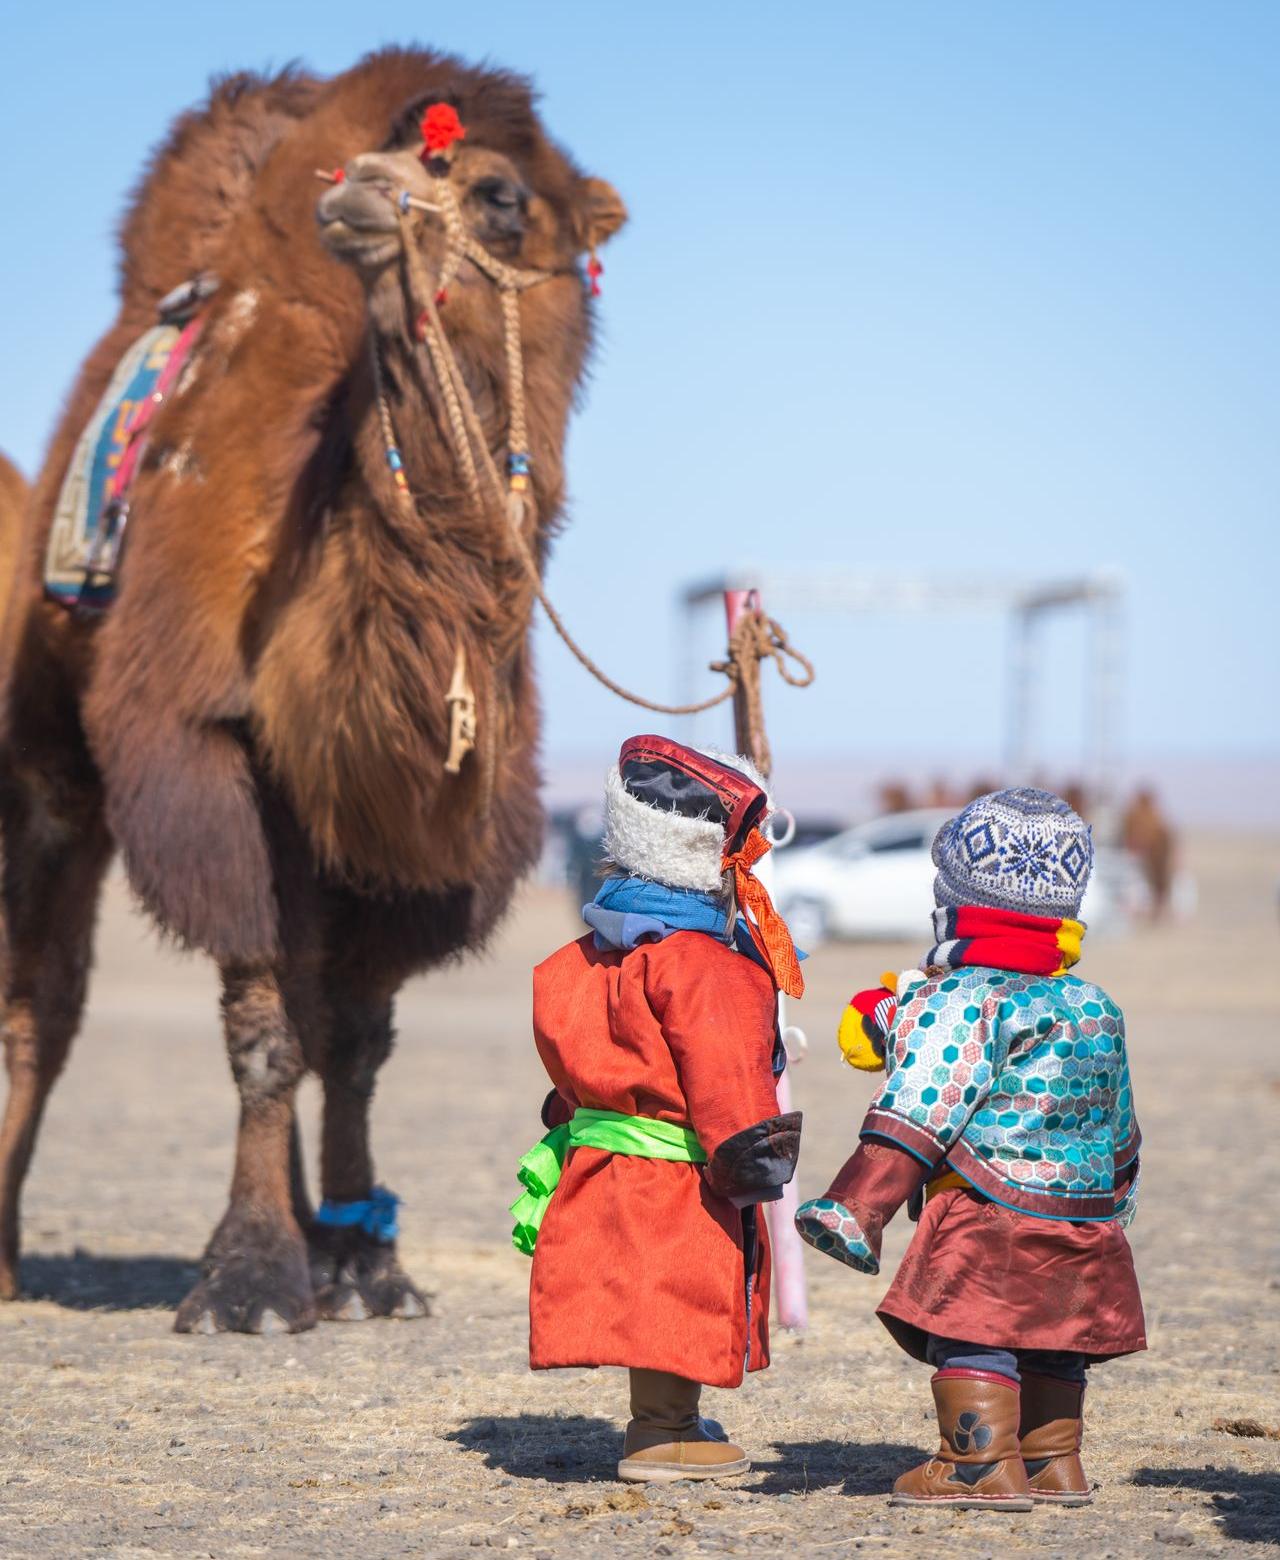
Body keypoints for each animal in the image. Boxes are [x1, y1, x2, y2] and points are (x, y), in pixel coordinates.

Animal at [0, 54, 623, 1335]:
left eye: (499, 197)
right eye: (363, 164)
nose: (361, 196)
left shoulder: (416, 815)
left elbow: (356, 1037)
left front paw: (362, 1267)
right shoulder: (207, 750)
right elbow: (264, 1029)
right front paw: (247, 1281)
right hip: (48, 746)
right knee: (43, 999)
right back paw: (7, 1260)